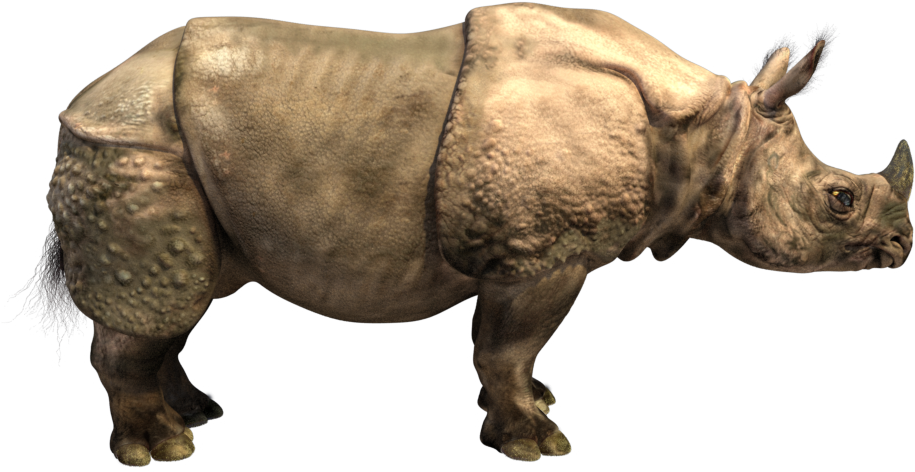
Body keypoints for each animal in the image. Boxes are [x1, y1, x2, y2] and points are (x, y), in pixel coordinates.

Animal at [6, 1, 912, 465]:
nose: (900, 249)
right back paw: (160, 449)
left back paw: (196, 412)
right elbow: (506, 347)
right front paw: (536, 442)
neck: (709, 134)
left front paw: (532, 405)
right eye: (836, 200)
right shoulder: (542, 254)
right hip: (129, 143)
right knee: (158, 299)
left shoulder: (526, 251)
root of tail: (92, 93)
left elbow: (508, 354)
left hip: (162, 146)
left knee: (185, 293)